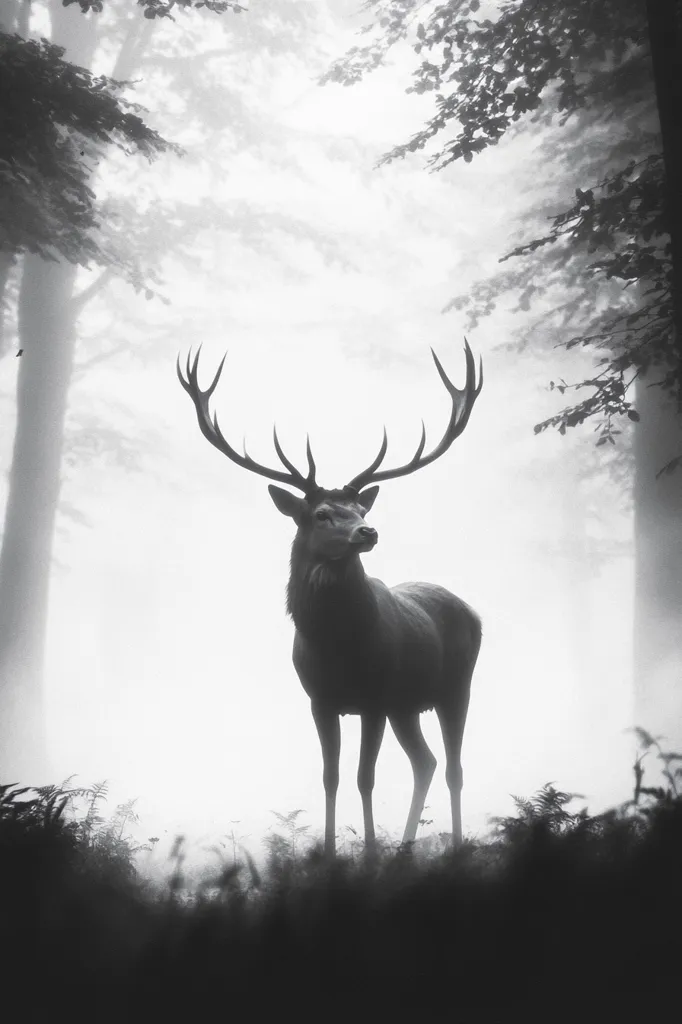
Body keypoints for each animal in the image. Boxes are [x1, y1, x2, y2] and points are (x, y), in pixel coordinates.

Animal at [177, 341, 483, 857]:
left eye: (359, 507)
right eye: (321, 513)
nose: (368, 531)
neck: (338, 647)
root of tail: (472, 610)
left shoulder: (374, 699)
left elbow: (365, 778)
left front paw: (371, 854)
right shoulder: (320, 700)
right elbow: (331, 777)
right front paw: (332, 853)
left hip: (454, 687)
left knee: (455, 768)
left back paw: (454, 846)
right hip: (407, 705)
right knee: (426, 761)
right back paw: (406, 849)